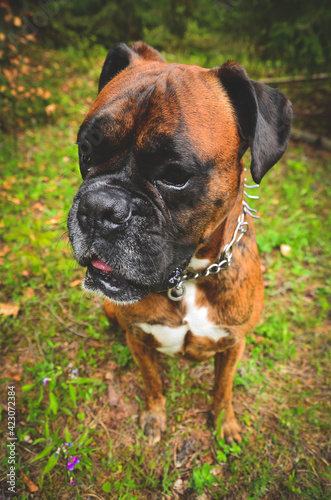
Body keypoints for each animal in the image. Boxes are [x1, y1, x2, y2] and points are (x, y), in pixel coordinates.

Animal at [68, 42, 294, 446]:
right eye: (85, 151)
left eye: (176, 175)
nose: (99, 207)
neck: (188, 281)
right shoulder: (140, 340)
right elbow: (152, 381)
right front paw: (155, 416)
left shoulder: (234, 343)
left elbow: (223, 387)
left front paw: (224, 423)